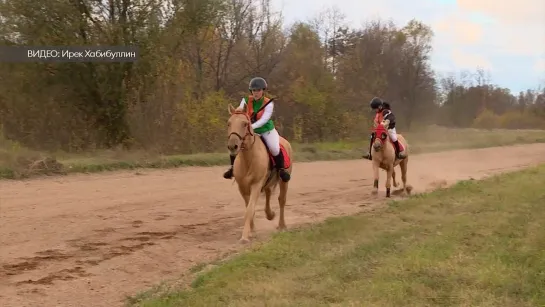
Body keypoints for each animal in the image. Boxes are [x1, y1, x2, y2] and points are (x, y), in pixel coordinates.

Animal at [225, 104, 294, 244]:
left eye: (245, 124)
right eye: (229, 123)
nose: (233, 146)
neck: (248, 159)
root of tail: (285, 141)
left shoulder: (256, 185)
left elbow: (250, 209)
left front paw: (245, 237)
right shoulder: (242, 187)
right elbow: (248, 208)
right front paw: (252, 231)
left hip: (284, 181)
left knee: (281, 200)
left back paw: (282, 225)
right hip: (267, 183)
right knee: (268, 194)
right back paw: (270, 214)